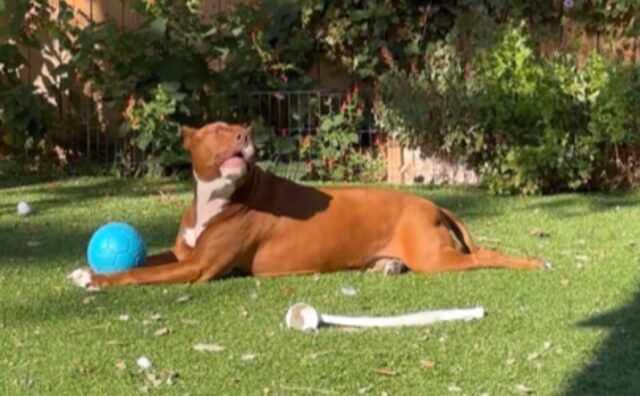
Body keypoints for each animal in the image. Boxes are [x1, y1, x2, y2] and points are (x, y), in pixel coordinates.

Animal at [70, 122, 544, 290]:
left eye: (237, 127)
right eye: (217, 130)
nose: (245, 133)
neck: (216, 199)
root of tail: (433, 205)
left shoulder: (199, 267)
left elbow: (138, 272)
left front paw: (97, 278)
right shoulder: (185, 252)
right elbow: (149, 258)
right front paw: (86, 269)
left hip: (437, 256)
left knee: (485, 256)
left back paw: (533, 262)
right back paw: (388, 265)